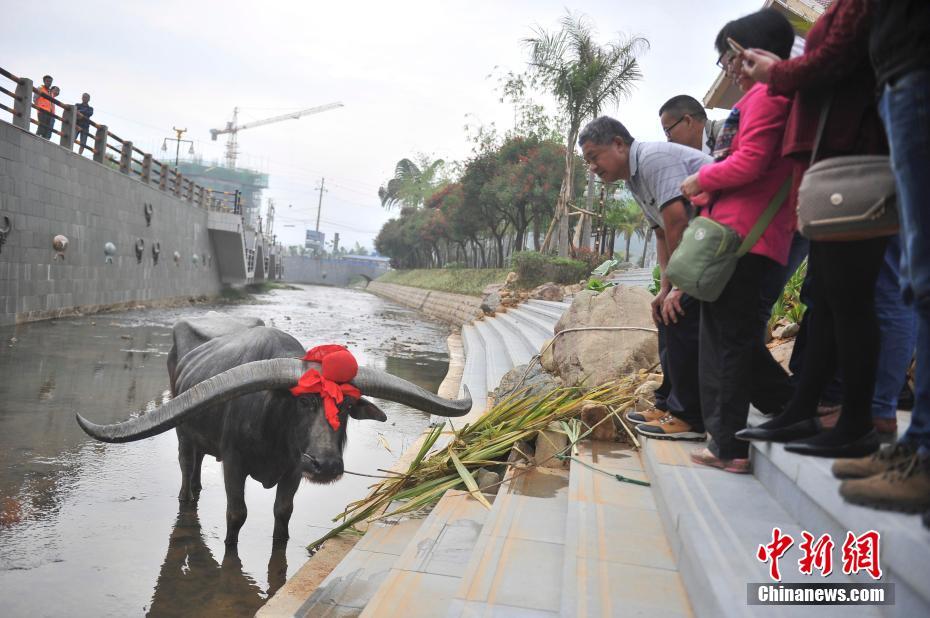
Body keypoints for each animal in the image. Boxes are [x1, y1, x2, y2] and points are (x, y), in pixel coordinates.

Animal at [76, 312, 472, 544]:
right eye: (304, 401)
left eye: (344, 407)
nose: (326, 465)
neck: (272, 427)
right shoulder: (234, 463)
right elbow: (236, 515)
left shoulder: (294, 469)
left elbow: (283, 514)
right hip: (182, 433)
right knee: (187, 469)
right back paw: (188, 494)